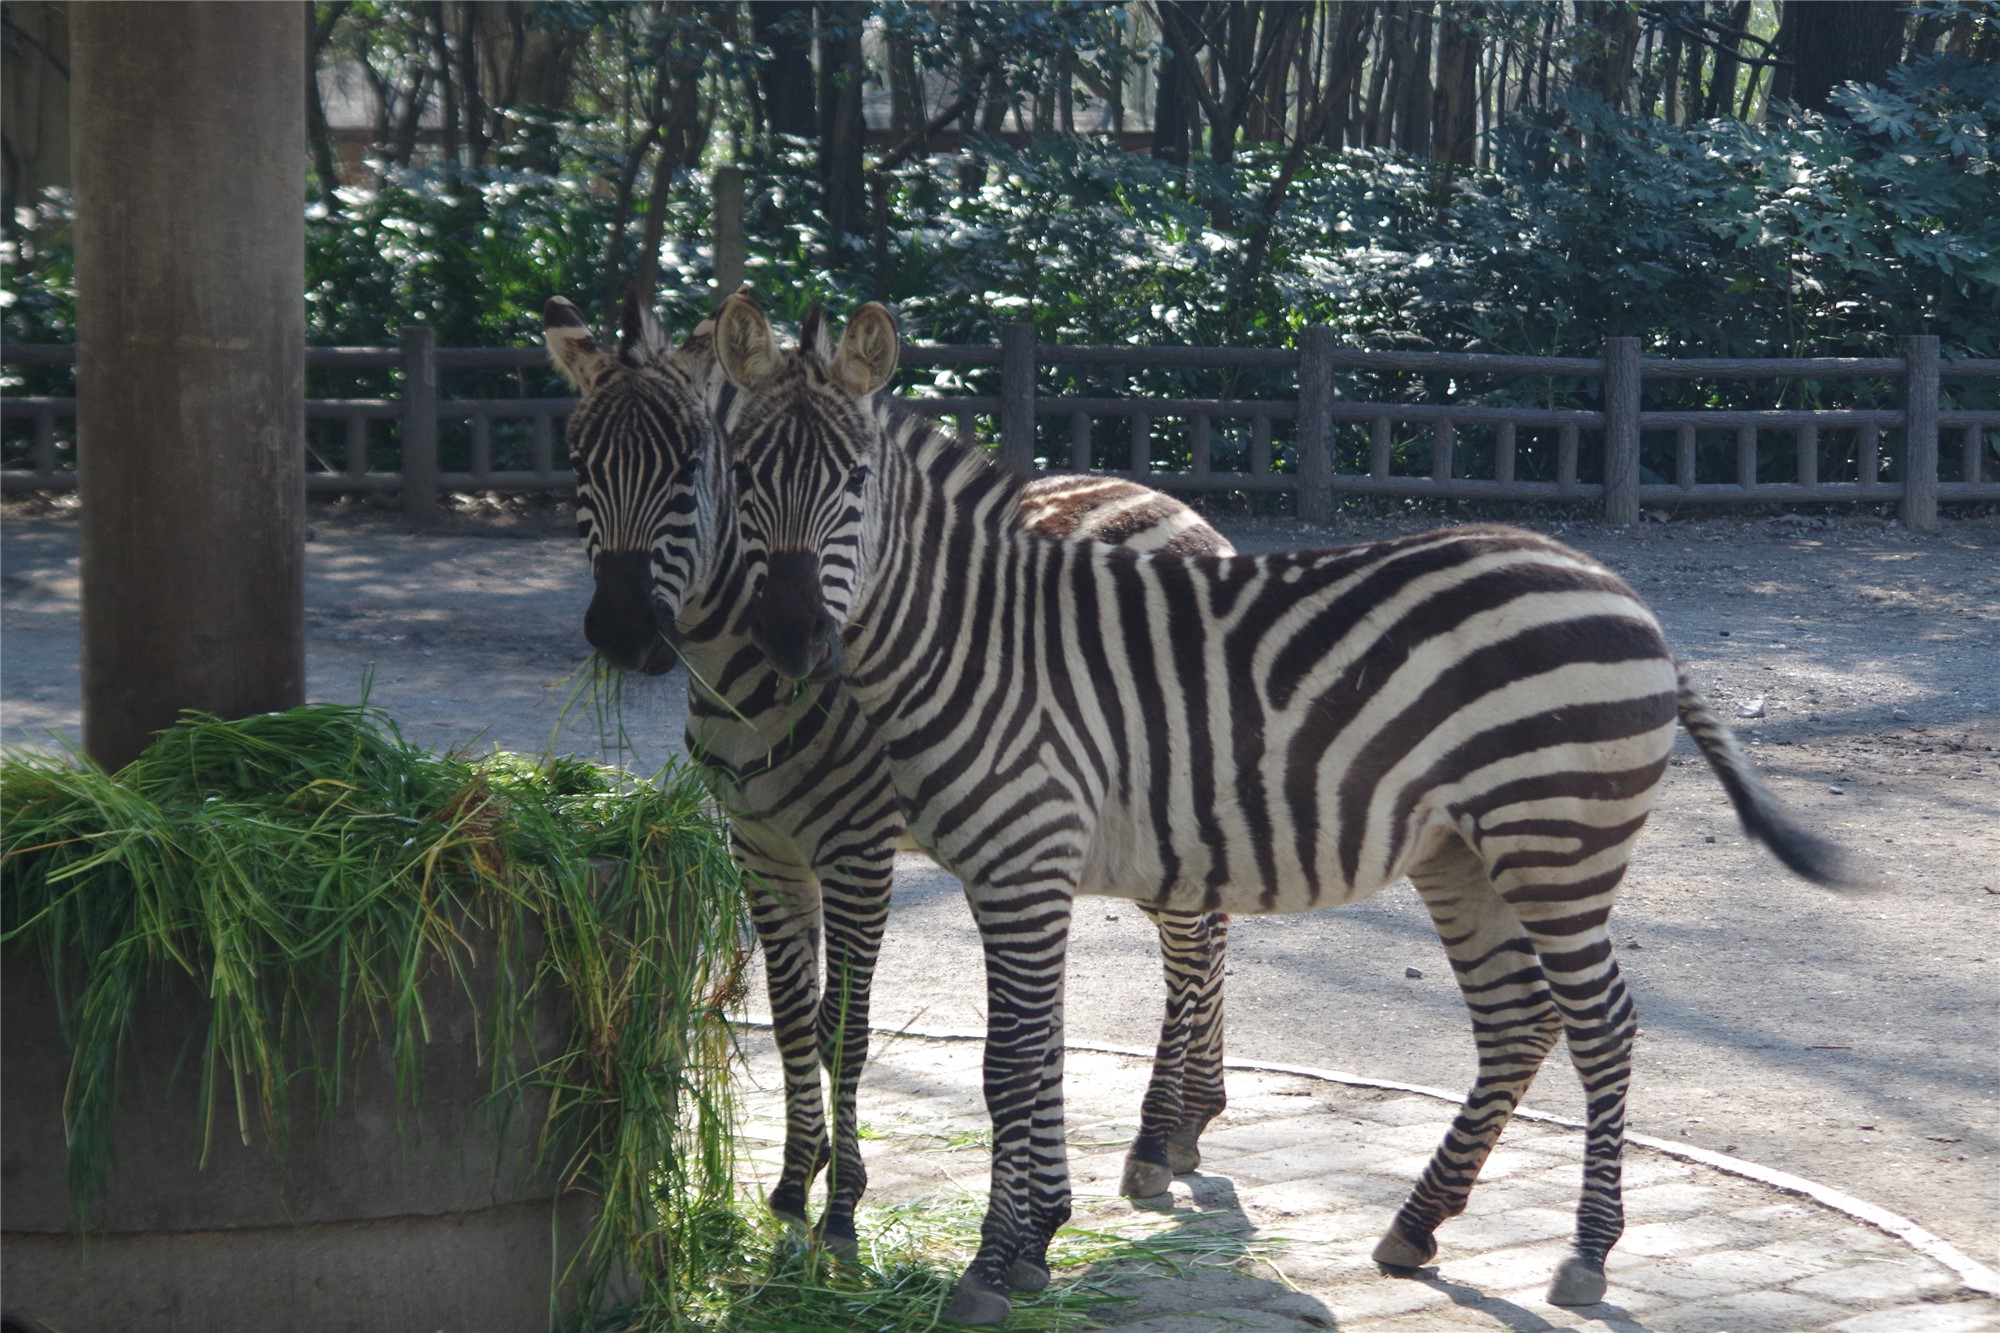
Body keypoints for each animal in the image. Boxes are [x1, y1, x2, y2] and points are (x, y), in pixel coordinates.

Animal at [548, 288, 1232, 1256]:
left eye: (687, 469)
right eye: (579, 462)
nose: (621, 634)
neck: (744, 675)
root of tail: (1176, 506)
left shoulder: (858, 846)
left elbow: (844, 1025)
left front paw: (843, 1205)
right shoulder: (760, 844)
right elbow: (791, 1017)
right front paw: (794, 1184)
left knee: (1189, 948)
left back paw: (1156, 1136)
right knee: (1210, 935)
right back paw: (1190, 1120)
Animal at [704, 296, 1856, 1320]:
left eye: (855, 482)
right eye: (745, 476)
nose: (791, 640)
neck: (972, 636)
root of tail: (1617, 589)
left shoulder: (1010, 857)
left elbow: (1006, 1062)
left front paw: (989, 1264)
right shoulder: (1007, 866)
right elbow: (1028, 1055)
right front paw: (1028, 1243)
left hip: (1556, 842)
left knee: (1600, 1022)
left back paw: (1584, 1254)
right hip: (1461, 848)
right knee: (1516, 1017)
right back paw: (1413, 1225)